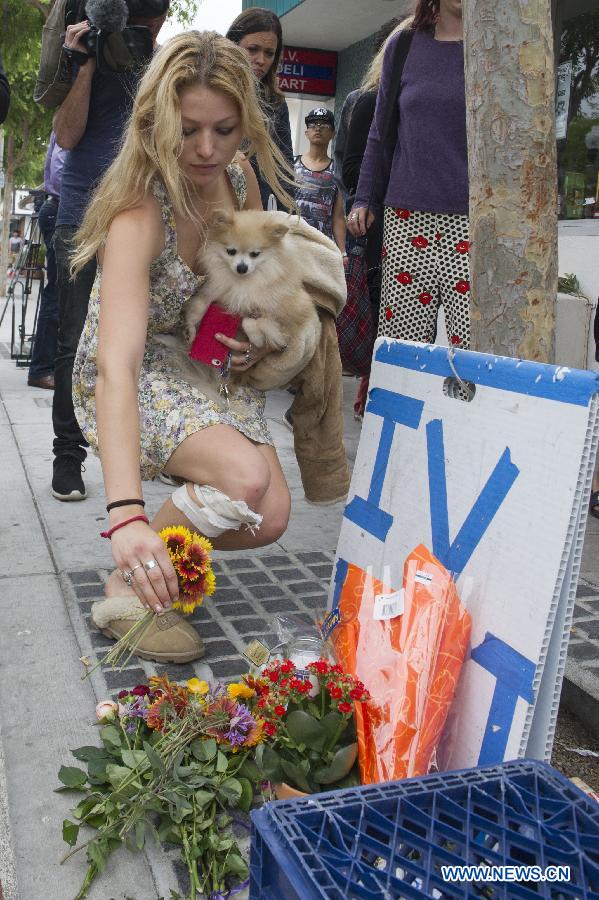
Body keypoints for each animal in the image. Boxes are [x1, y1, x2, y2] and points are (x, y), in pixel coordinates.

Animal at [184, 213, 322, 396]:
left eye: (255, 254)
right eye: (231, 251)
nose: (242, 267)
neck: (245, 283)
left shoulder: (284, 319)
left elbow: (251, 321)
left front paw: (257, 339)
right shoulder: (218, 292)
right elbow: (201, 304)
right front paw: (191, 327)